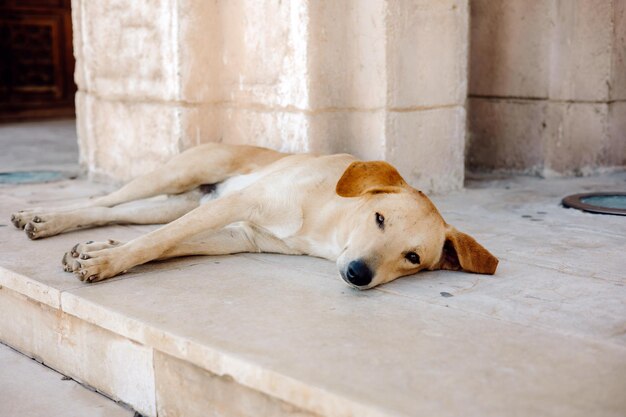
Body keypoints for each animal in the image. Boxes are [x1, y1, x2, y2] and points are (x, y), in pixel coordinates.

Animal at [9, 141, 494, 288]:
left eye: (413, 258)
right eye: (378, 218)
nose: (358, 274)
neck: (327, 222)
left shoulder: (239, 234)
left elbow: (166, 244)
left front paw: (101, 252)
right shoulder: (239, 205)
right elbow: (160, 241)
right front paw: (109, 262)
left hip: (171, 202)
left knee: (118, 214)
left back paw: (77, 232)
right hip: (180, 172)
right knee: (103, 202)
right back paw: (44, 217)